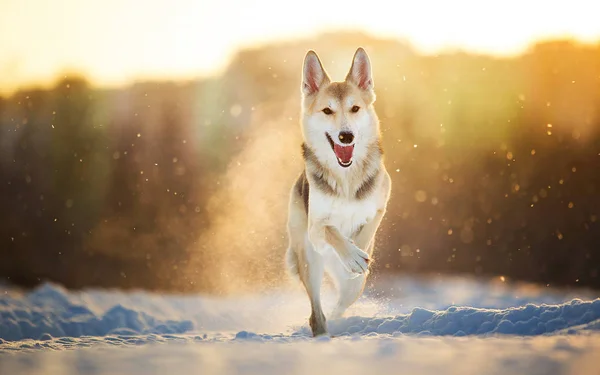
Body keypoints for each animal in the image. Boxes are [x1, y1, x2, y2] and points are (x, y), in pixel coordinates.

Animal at [288, 47, 394, 338]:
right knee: (317, 313)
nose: (346, 136)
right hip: (309, 260)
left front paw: (358, 252)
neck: (346, 177)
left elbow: (367, 230)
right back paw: (323, 333)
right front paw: (352, 254)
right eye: (327, 110)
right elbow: (332, 231)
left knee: (344, 299)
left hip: (348, 285)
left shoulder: (380, 206)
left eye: (355, 108)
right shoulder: (316, 229)